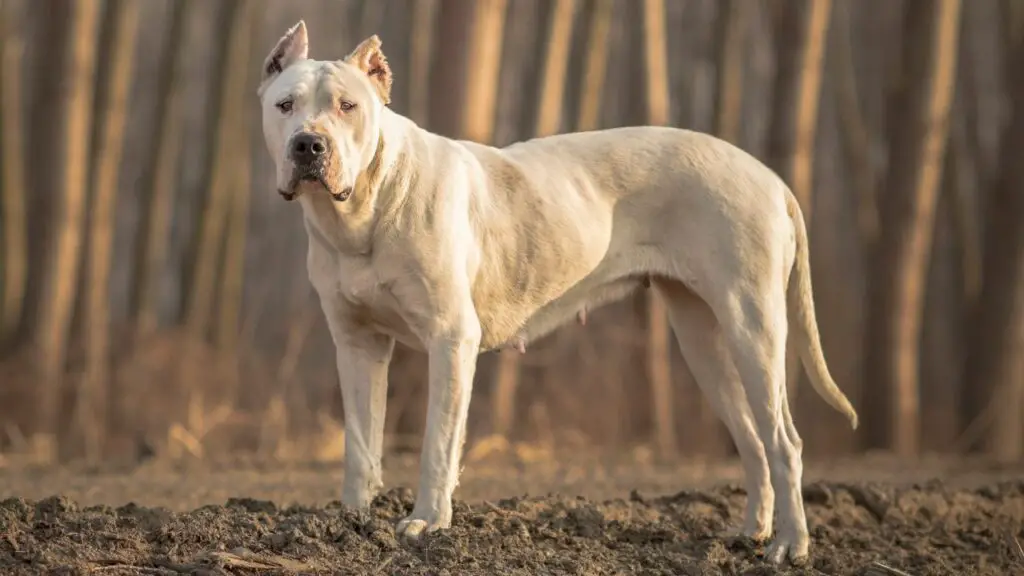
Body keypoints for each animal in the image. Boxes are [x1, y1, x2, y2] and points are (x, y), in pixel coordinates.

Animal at [253, 20, 856, 561]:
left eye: (348, 107)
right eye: (285, 105)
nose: (309, 145)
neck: (363, 210)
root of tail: (770, 178)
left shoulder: (451, 340)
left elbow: (437, 443)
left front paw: (426, 523)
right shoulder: (357, 343)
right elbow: (360, 443)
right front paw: (349, 522)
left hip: (753, 327)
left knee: (783, 442)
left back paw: (790, 545)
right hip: (702, 339)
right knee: (753, 441)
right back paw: (751, 533)